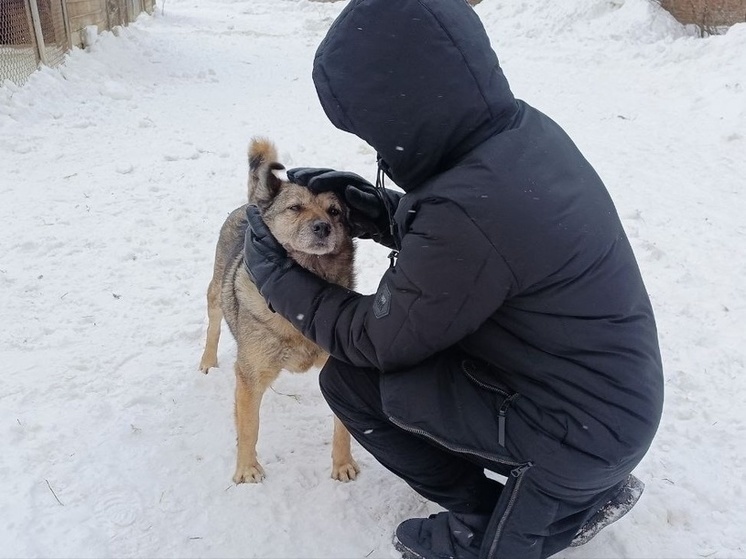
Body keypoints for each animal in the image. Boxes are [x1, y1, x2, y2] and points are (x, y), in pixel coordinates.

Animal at [198, 138, 360, 484]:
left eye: (334, 211)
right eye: (295, 207)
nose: (323, 227)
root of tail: (254, 203)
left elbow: (342, 427)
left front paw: (342, 463)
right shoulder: (249, 375)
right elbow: (249, 427)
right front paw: (247, 468)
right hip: (216, 293)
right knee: (214, 323)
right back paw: (207, 360)